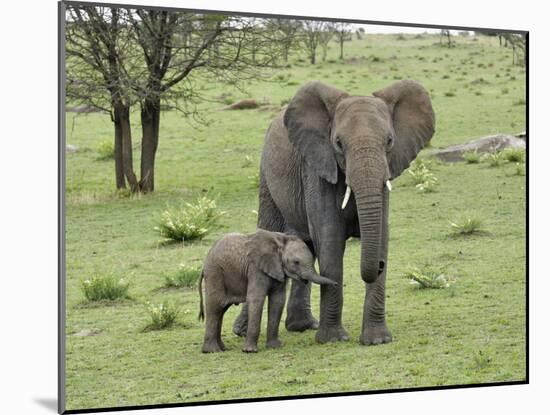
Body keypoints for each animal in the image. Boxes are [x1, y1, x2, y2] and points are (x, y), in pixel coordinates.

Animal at [198, 229, 336, 352]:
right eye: (296, 262)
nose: (336, 283)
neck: (281, 240)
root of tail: (204, 265)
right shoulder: (255, 268)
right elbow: (256, 299)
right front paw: (250, 351)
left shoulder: (278, 269)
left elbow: (278, 300)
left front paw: (275, 347)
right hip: (215, 273)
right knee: (216, 306)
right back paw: (212, 351)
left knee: (221, 310)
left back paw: (223, 348)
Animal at [233, 79, 436, 344]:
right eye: (338, 143)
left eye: (390, 141)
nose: (380, 266)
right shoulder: (317, 168)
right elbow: (330, 241)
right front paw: (332, 340)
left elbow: (381, 235)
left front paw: (377, 340)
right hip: (267, 177)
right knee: (270, 229)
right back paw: (243, 332)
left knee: (306, 246)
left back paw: (302, 326)